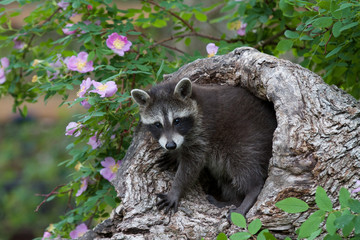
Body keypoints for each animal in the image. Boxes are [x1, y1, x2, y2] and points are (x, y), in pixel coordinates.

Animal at [131, 78, 278, 217]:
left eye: (177, 121)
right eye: (157, 124)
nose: (171, 145)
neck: (196, 104)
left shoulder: (203, 133)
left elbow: (191, 165)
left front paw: (176, 189)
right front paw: (174, 155)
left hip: (250, 140)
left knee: (243, 166)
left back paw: (251, 191)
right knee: (225, 177)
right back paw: (234, 201)